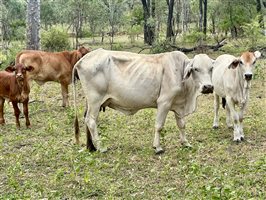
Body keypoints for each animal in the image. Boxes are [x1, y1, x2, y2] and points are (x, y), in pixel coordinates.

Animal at [72, 48, 214, 153]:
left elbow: (182, 125)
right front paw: (157, 147)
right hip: (95, 100)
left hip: (91, 102)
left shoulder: (178, 105)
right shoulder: (164, 102)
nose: (208, 87)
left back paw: (91, 147)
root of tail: (82, 60)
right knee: (91, 121)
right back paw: (100, 147)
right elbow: (159, 126)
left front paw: (185, 143)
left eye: (211, 68)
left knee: (87, 120)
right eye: (195, 68)